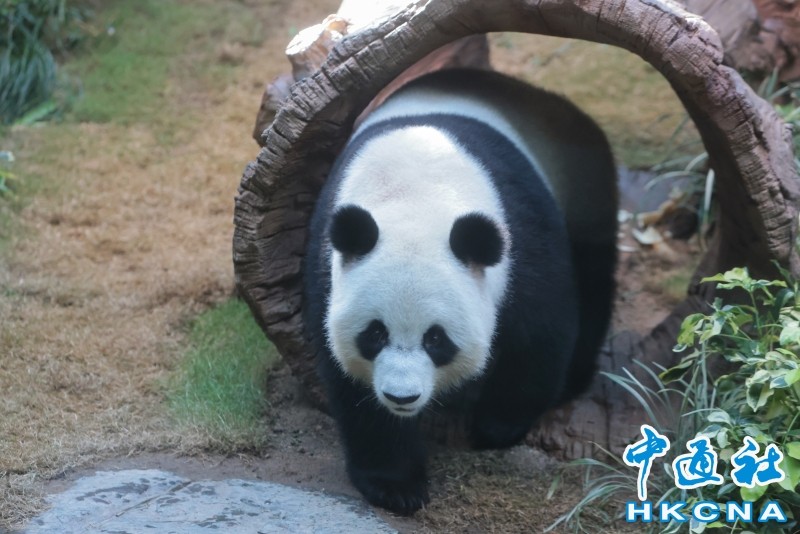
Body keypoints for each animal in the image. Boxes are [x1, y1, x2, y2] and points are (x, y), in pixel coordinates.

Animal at [303, 68, 617, 515]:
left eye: (436, 339)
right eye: (375, 334)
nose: (402, 396)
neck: (415, 194)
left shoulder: (521, 230)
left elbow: (540, 332)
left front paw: (495, 428)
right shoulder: (328, 268)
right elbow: (348, 379)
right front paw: (395, 485)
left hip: (584, 179)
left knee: (594, 271)